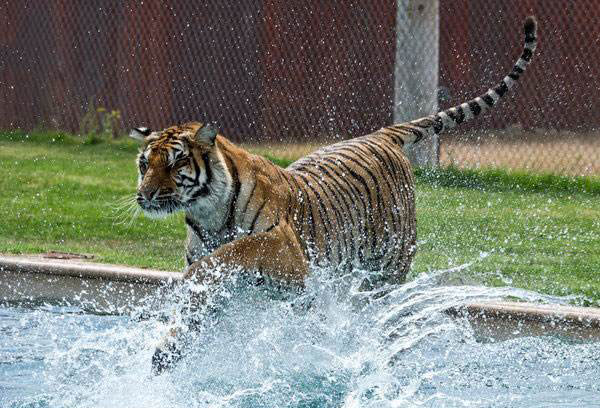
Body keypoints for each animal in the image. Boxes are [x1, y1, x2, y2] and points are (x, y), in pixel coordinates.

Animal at [130, 15, 536, 372]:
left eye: (175, 163)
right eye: (144, 163)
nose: (144, 196)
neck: (209, 213)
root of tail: (382, 134)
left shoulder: (286, 251)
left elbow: (237, 249)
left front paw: (194, 276)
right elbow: (195, 309)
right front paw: (165, 354)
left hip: (385, 269)